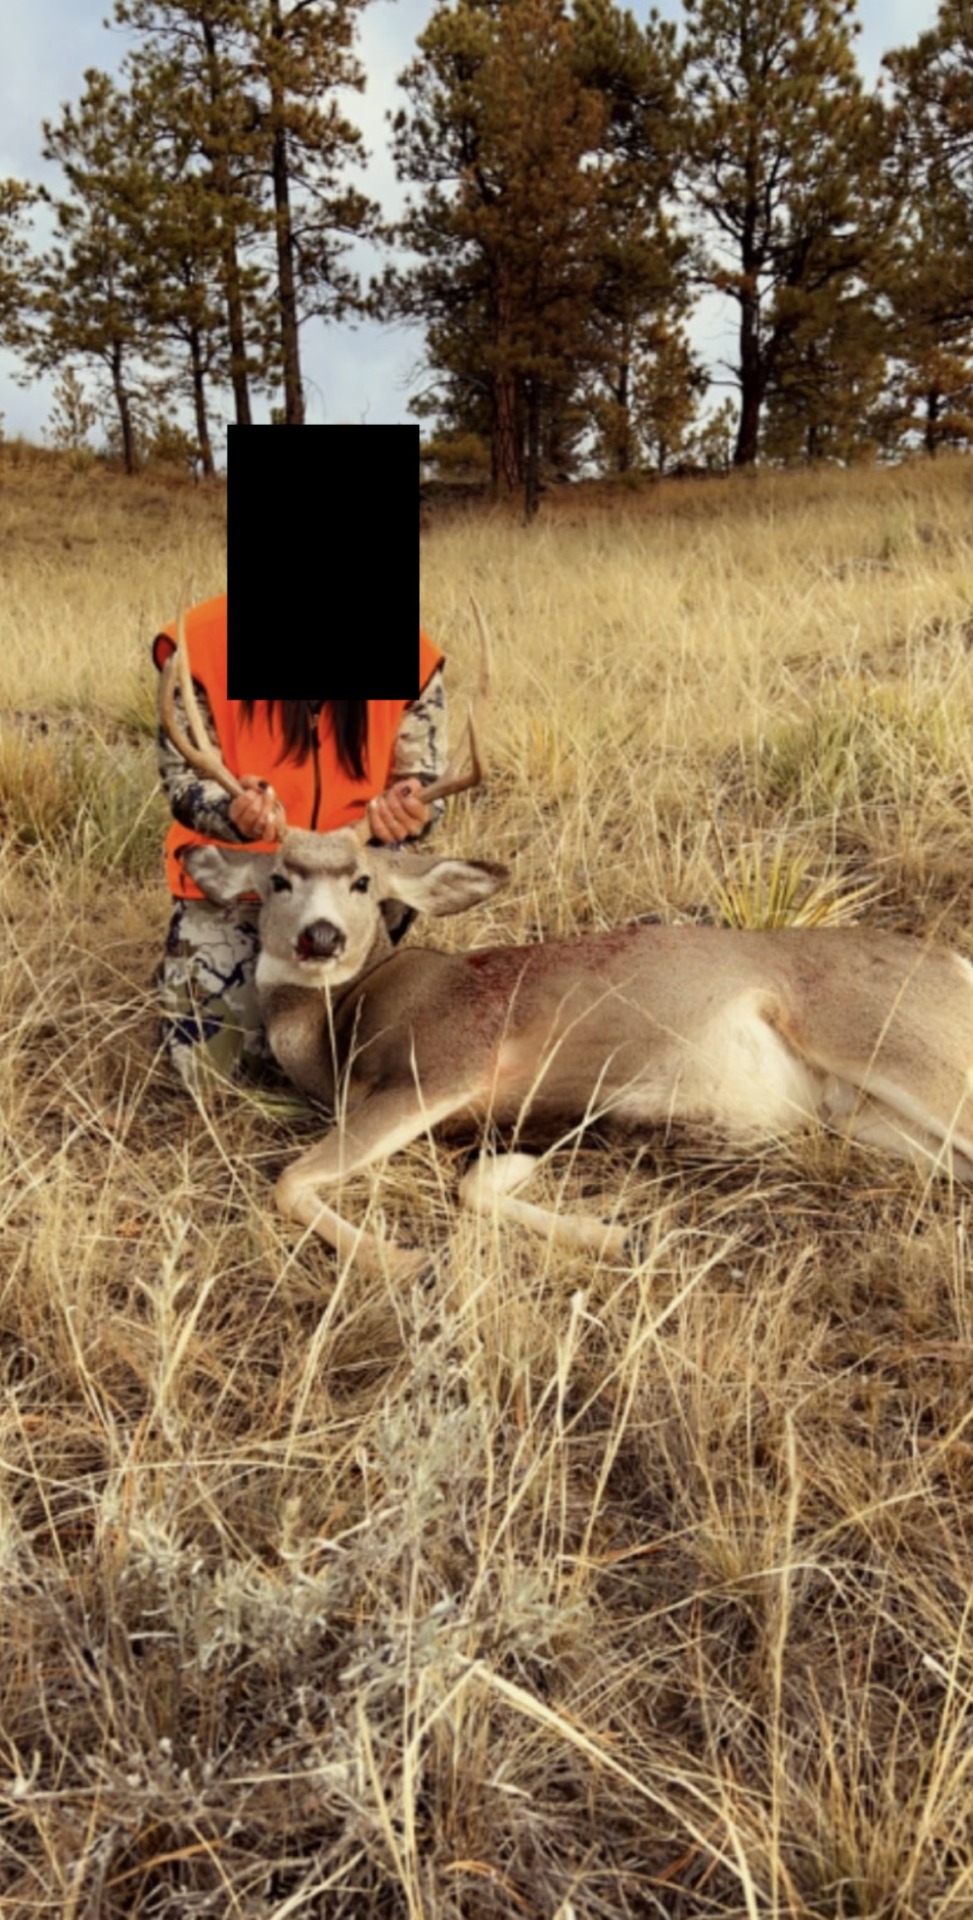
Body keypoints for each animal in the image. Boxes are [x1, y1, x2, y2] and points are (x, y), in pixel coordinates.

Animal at [159, 615, 973, 1279]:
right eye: (277, 878)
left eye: (362, 881)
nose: (320, 936)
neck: (339, 1027)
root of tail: (955, 963)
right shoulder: (526, 1120)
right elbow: (476, 1184)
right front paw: (621, 1237)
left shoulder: (446, 1062)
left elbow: (289, 1180)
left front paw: (405, 1261)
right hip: (865, 1116)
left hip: (894, 1042)